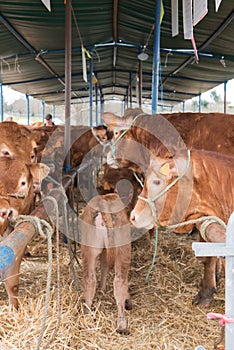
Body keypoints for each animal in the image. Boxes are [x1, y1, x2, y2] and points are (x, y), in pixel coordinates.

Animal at [80, 193, 133, 334]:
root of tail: (104, 201)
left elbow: (104, 266)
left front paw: (102, 290)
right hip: (123, 250)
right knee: (120, 282)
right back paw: (122, 325)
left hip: (89, 249)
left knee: (89, 279)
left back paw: (87, 316)